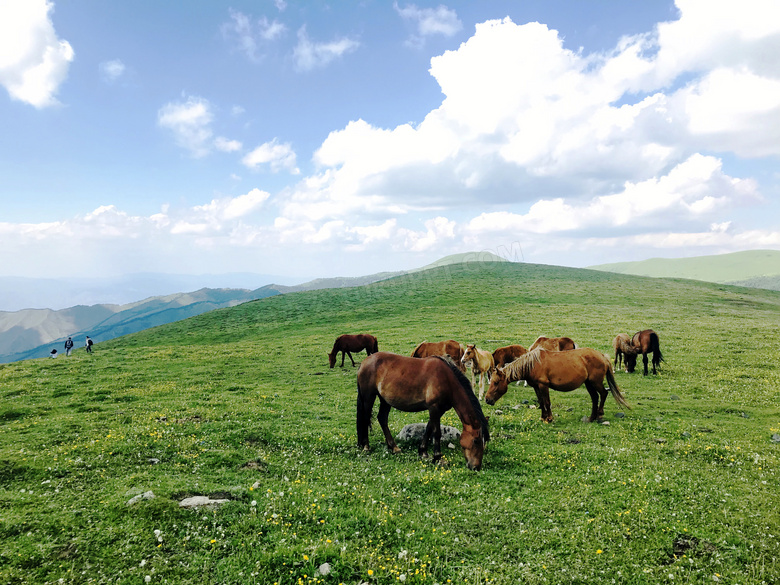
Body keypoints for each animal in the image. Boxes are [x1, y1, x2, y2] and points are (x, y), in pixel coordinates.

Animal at [358, 352, 490, 470]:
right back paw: (366, 447)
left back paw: (394, 447)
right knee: (365, 418)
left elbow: (429, 428)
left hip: (385, 400)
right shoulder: (434, 407)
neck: (447, 380)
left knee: (382, 419)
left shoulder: (439, 410)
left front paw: (423, 452)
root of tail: (364, 362)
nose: (476, 467)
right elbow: (436, 432)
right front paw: (438, 458)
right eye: (476, 441)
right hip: (368, 397)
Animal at [484, 346, 632, 424]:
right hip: (589, 383)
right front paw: (543, 417)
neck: (533, 364)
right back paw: (591, 417)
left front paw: (549, 418)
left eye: (496, 382)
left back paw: (599, 415)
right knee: (595, 397)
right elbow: (541, 402)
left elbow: (547, 402)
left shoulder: (543, 385)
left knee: (603, 393)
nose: (487, 399)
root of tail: (602, 356)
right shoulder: (536, 386)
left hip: (595, 382)